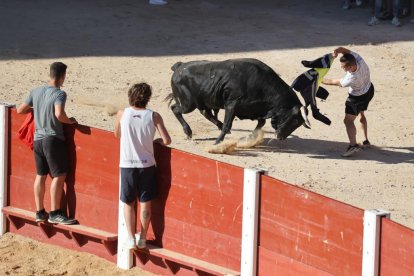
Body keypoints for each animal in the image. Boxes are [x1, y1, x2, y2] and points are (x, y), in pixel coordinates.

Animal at [166, 58, 310, 144]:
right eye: (295, 121)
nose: (280, 137)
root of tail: (179, 66)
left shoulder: (255, 109)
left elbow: (261, 122)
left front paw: (249, 137)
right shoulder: (232, 105)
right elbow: (227, 124)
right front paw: (217, 142)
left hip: (202, 101)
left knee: (205, 113)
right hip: (188, 103)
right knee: (175, 108)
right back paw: (188, 132)